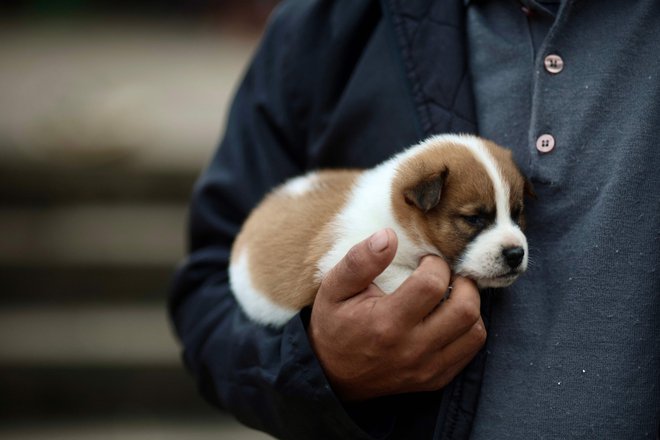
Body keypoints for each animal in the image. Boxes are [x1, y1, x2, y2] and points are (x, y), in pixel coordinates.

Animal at [228, 134, 532, 326]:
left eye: (517, 213)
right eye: (474, 219)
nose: (516, 253)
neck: (401, 222)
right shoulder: (338, 257)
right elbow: (394, 274)